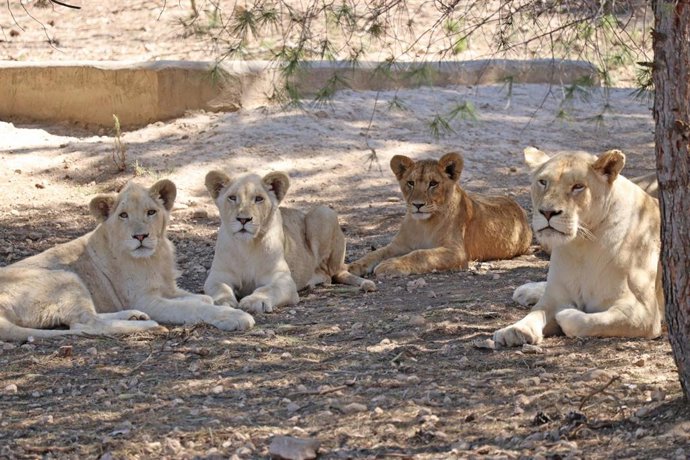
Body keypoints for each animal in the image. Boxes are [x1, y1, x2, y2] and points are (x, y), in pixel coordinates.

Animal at [0, 180, 254, 342]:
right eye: (123, 215)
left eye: (151, 212)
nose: (140, 236)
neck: (153, 258)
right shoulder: (145, 300)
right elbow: (192, 307)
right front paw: (233, 316)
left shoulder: (168, 288)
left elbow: (201, 298)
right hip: (65, 276)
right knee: (86, 324)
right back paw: (147, 324)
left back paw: (133, 315)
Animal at [203, 170, 376, 314]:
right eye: (232, 198)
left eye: (259, 199)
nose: (243, 219)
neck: (246, 246)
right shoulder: (217, 276)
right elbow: (221, 288)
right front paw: (223, 302)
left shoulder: (283, 279)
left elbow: (267, 290)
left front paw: (254, 301)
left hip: (323, 212)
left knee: (333, 273)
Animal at [348, 152, 533, 277]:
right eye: (410, 183)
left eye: (433, 184)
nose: (417, 205)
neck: (422, 225)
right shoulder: (398, 246)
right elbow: (375, 253)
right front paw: (351, 267)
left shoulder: (456, 252)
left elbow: (420, 254)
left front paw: (389, 265)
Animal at [493, 148, 663, 347]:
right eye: (543, 182)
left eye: (578, 186)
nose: (547, 212)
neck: (581, 246)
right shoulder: (554, 298)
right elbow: (535, 313)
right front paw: (515, 330)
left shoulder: (644, 313)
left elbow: (589, 320)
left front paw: (565, 314)